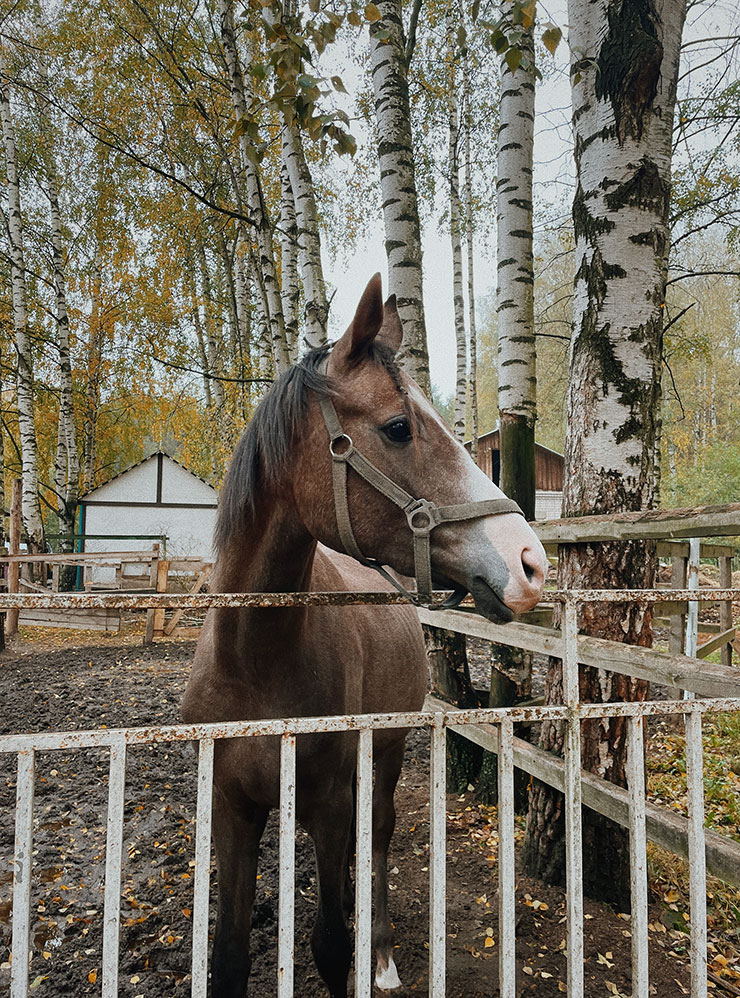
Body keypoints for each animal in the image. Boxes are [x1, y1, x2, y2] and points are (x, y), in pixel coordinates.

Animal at [182, 274, 548, 998]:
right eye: (399, 428)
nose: (529, 561)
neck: (255, 661)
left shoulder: (327, 798)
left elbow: (329, 943)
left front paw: (359, 949)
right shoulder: (232, 812)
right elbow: (229, 954)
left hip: (386, 751)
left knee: (375, 838)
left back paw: (377, 947)